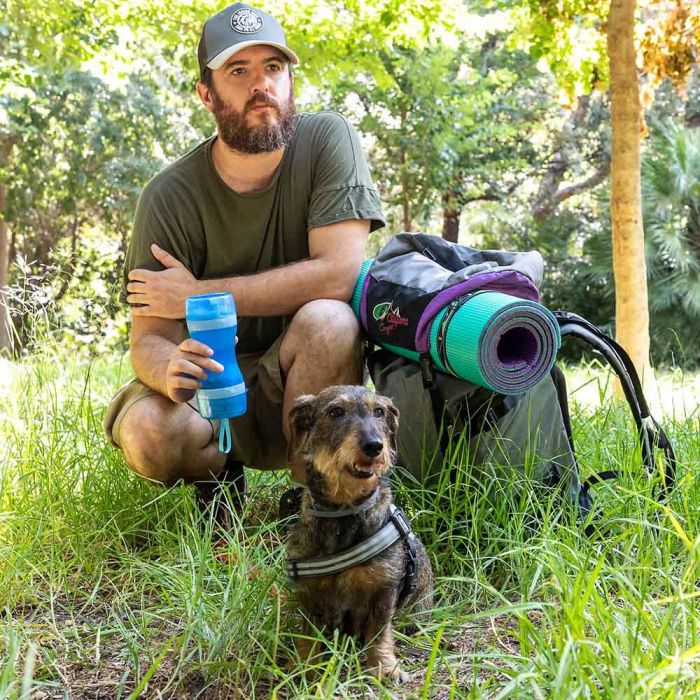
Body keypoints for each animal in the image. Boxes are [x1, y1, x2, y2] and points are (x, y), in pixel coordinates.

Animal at [284, 386, 432, 680]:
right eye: (335, 412)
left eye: (379, 412)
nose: (374, 446)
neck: (344, 512)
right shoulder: (309, 593)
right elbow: (308, 633)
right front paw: (305, 665)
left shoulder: (384, 590)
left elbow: (379, 631)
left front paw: (384, 666)